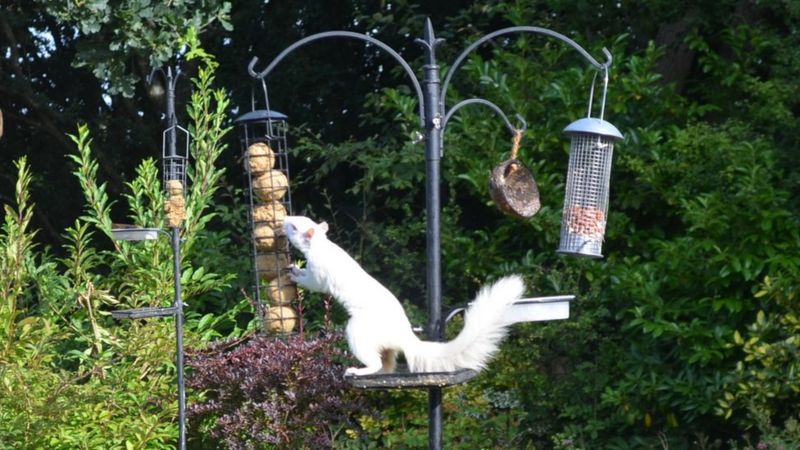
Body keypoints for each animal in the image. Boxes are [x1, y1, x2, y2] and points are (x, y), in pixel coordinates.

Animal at [282, 216, 524, 374]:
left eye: (294, 226)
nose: (284, 218)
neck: (320, 246)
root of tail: (405, 337)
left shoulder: (319, 273)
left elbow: (313, 283)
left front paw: (295, 275)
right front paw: (294, 267)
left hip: (359, 331)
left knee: (376, 362)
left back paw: (358, 371)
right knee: (386, 362)